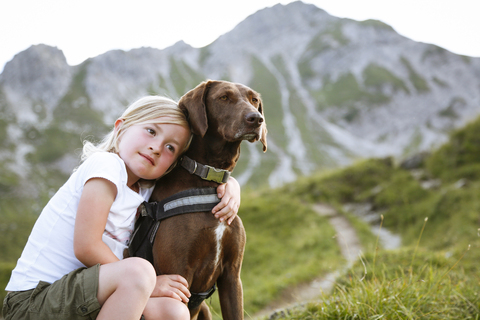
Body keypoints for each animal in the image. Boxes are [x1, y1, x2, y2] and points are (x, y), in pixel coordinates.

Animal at [150, 79, 266, 318]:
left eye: (254, 100)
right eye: (224, 97)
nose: (256, 119)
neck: (208, 181)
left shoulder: (232, 276)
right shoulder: (178, 274)